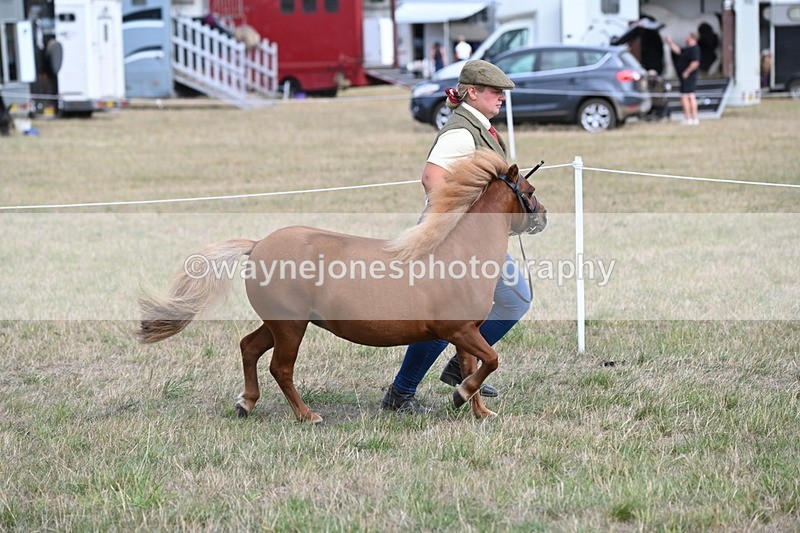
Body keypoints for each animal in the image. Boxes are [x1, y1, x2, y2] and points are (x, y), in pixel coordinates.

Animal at [137, 150, 547, 423]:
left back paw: (246, 403)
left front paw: (479, 410)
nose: (543, 216)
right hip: (290, 327)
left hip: (278, 324)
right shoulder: (460, 330)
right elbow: (490, 360)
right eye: (529, 189)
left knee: (249, 347)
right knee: (280, 369)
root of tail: (258, 244)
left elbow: (472, 366)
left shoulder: (466, 332)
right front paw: (462, 396)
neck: (459, 252)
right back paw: (307, 416)